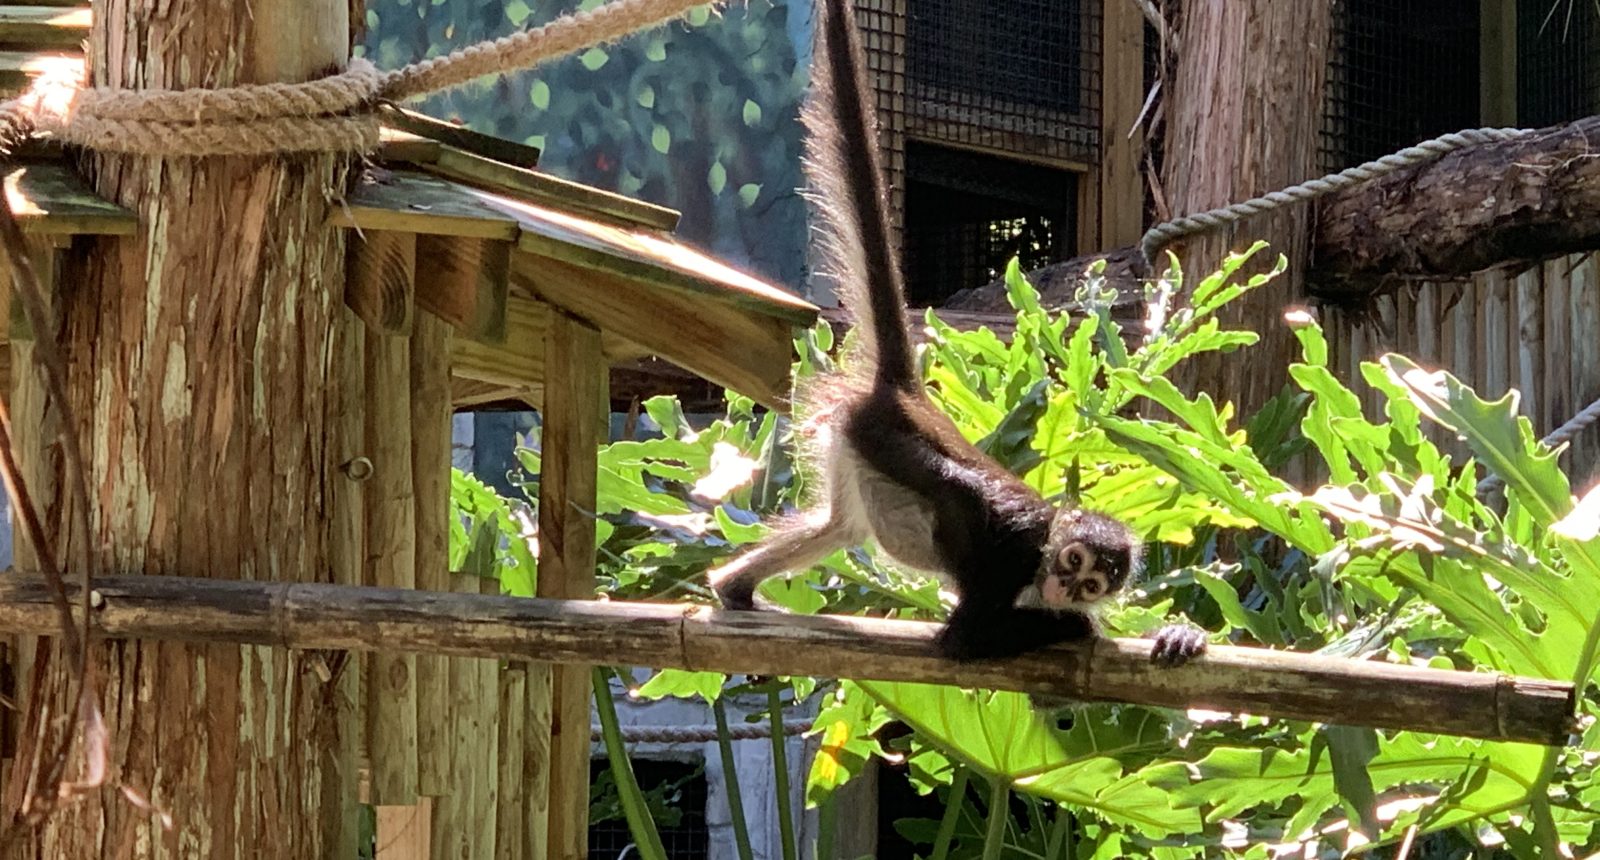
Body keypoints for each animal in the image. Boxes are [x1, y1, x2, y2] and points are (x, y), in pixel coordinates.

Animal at [709, 0, 1206, 668]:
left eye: (1093, 581)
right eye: (1073, 560)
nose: (1067, 586)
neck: (1046, 549)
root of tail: (906, 397)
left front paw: (1177, 635)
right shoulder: (1017, 553)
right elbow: (967, 635)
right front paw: (1075, 626)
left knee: (838, 526)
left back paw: (734, 590)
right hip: (891, 443)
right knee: (956, 488)